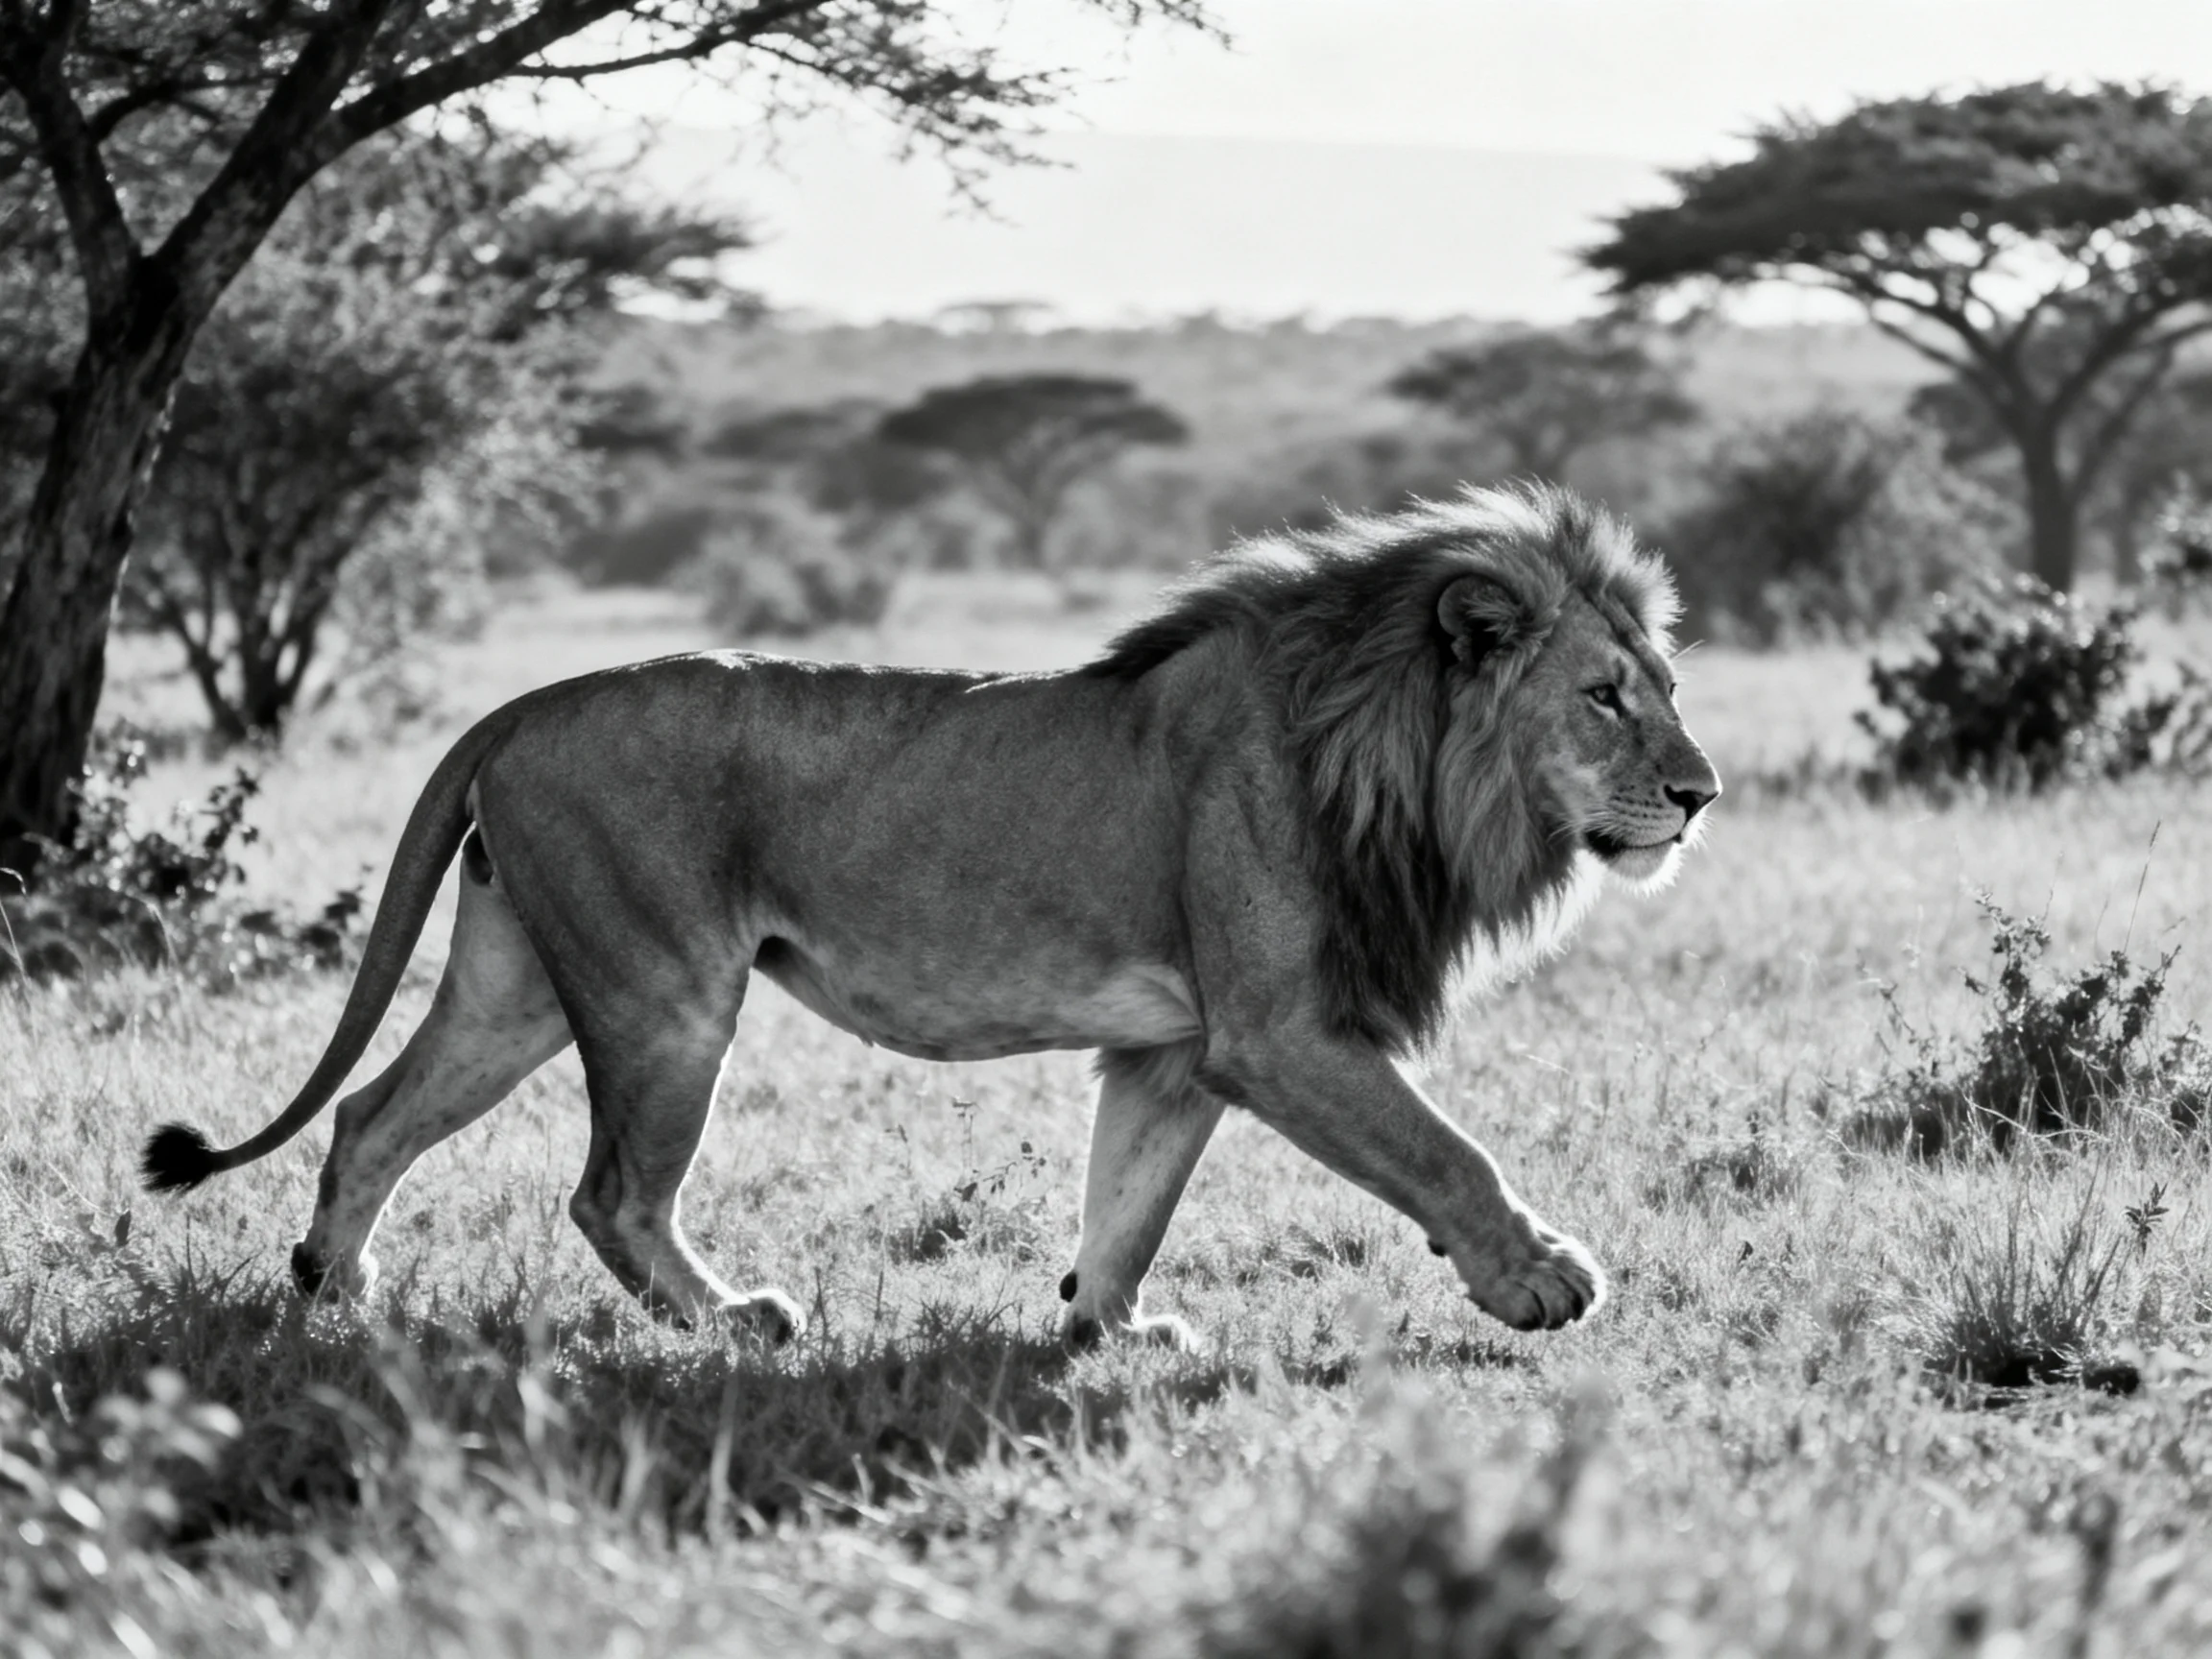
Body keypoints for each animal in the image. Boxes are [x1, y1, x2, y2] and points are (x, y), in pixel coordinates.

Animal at [143, 482, 1719, 1348]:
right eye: (1604, 696)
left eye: (1669, 685)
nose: (1702, 796)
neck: (1388, 755)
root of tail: (527, 702)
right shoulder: (1281, 1033)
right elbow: (1444, 1151)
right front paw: (1540, 1279)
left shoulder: (1179, 1048)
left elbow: (1128, 1199)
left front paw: (1106, 1330)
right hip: (665, 995)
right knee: (610, 1194)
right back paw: (736, 1324)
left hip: (515, 984)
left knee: (375, 1115)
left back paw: (334, 1295)